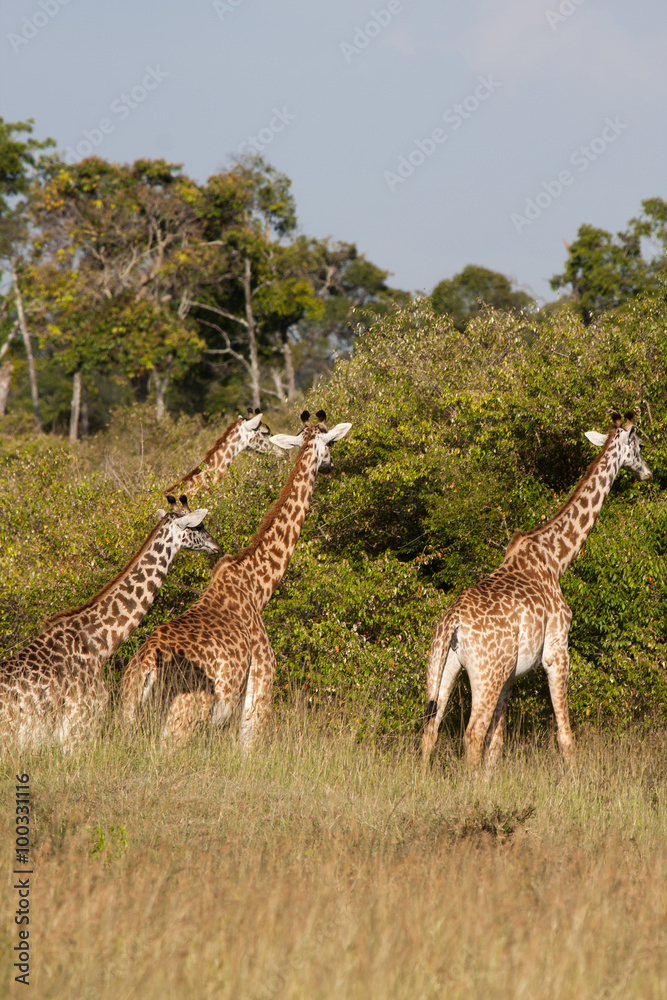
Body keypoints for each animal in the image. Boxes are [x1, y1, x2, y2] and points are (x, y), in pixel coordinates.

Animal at [120, 410, 352, 749]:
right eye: (331, 441)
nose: (332, 464)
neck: (257, 586)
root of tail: (147, 668)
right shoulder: (261, 688)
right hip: (181, 721)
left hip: (128, 717)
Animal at [421, 412, 652, 771]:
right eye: (640, 445)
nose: (648, 472)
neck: (556, 558)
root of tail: (453, 622)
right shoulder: (557, 650)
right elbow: (565, 735)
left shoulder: (511, 673)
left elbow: (497, 741)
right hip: (486, 672)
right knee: (471, 734)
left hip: (445, 664)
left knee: (430, 730)